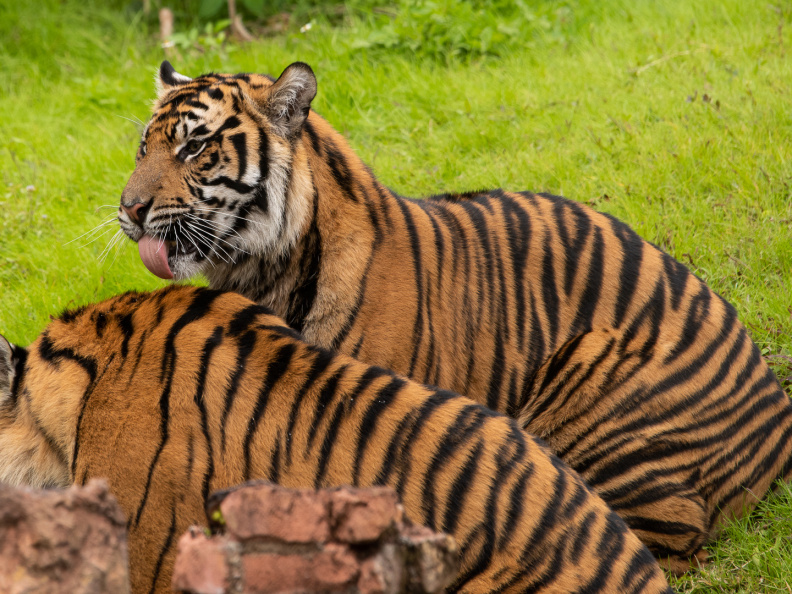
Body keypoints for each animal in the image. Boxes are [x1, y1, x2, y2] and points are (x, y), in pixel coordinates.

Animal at [117, 60, 792, 572]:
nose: (129, 209)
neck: (261, 267)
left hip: (595, 379)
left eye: (195, 147)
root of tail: (777, 421)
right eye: (144, 146)